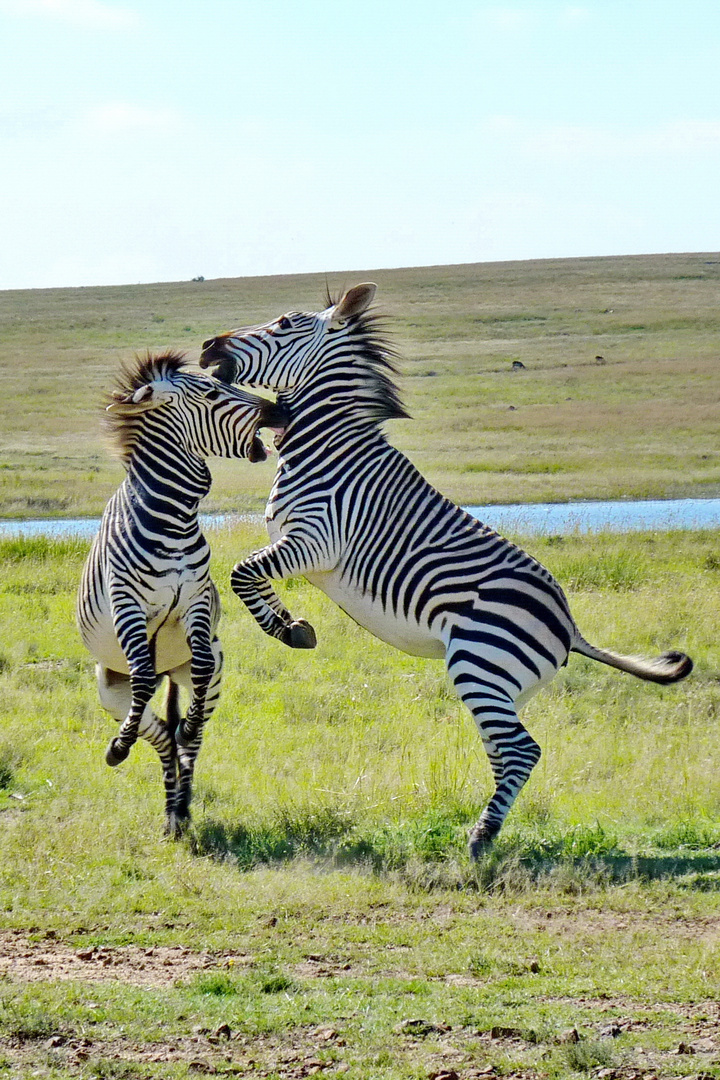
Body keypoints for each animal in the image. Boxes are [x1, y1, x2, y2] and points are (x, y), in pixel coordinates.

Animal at [76, 349, 284, 838]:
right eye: (210, 393)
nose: (280, 410)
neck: (173, 516)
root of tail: (171, 671)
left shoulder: (194, 603)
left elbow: (202, 665)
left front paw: (185, 731)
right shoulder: (126, 603)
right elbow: (140, 675)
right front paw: (118, 747)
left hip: (205, 677)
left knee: (187, 736)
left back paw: (181, 806)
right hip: (109, 688)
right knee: (158, 732)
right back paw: (167, 804)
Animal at [199, 285, 695, 851]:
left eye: (284, 323)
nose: (208, 345)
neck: (327, 449)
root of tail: (569, 625)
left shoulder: (316, 540)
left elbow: (241, 573)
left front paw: (289, 630)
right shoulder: (296, 545)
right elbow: (247, 574)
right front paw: (289, 623)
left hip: (479, 664)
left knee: (523, 751)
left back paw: (481, 837)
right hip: (500, 686)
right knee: (504, 753)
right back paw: (486, 828)